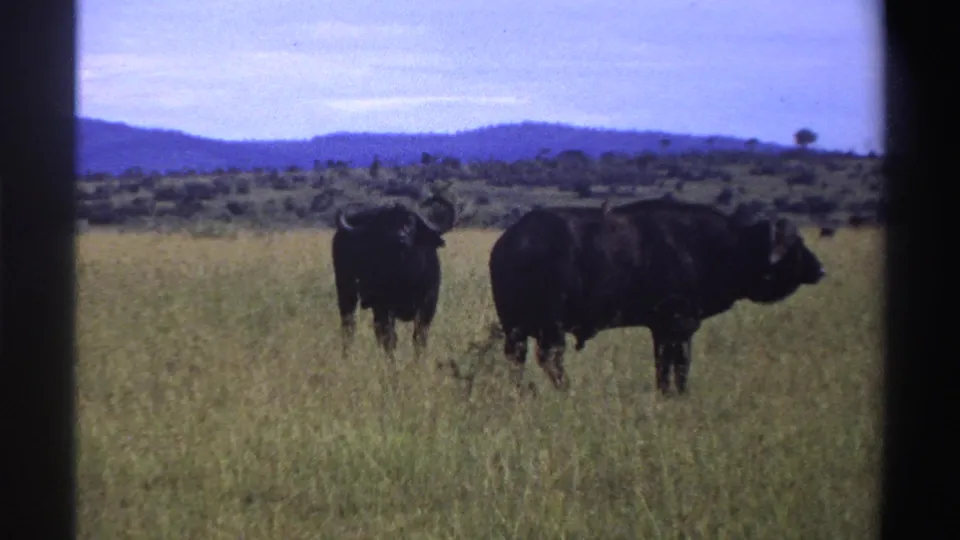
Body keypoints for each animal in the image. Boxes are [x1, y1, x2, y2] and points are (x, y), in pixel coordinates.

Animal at [332, 195, 458, 360]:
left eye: (411, 222)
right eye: (387, 223)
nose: (400, 238)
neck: (405, 276)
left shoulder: (428, 306)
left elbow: (419, 338)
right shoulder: (384, 307)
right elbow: (390, 339)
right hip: (346, 292)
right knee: (349, 326)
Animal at [488, 198, 826, 395]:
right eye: (795, 245)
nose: (820, 270)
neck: (719, 248)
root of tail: (510, 242)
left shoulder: (664, 330)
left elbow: (666, 369)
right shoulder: (678, 326)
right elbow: (678, 366)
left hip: (515, 330)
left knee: (518, 360)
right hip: (550, 327)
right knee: (551, 359)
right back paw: (566, 390)